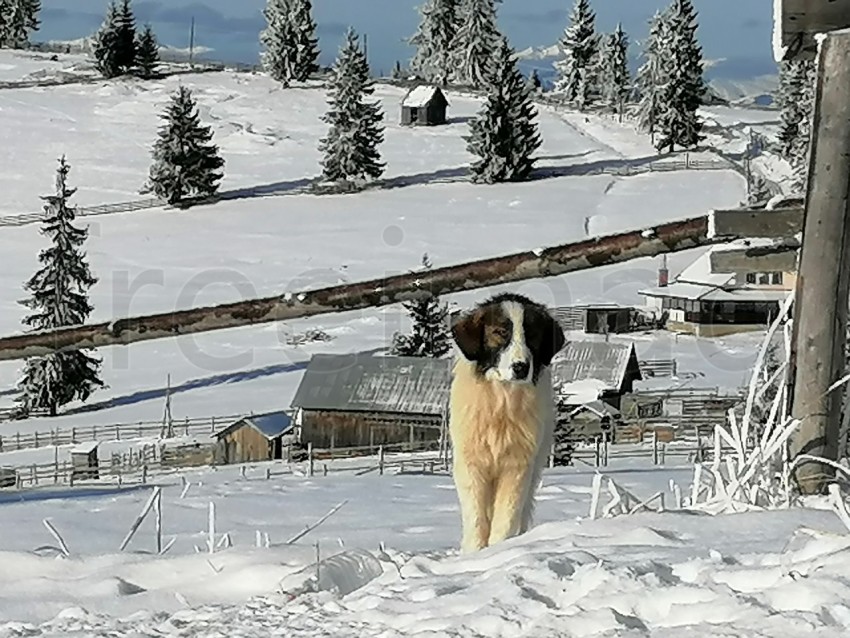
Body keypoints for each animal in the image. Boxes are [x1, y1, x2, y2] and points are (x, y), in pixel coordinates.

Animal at [444, 294, 564, 556]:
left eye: (532, 335)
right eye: (500, 333)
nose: (521, 367)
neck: (501, 401)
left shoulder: (517, 466)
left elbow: (506, 515)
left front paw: (501, 549)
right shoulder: (472, 464)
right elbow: (476, 516)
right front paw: (475, 553)